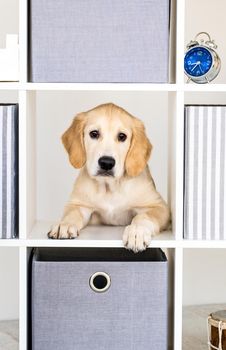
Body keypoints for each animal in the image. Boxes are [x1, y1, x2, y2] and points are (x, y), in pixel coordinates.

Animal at [48, 102, 170, 252]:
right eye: (94, 134)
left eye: (122, 136)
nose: (106, 163)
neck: (109, 187)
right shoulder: (79, 204)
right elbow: (72, 213)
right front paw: (64, 224)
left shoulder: (158, 206)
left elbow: (143, 216)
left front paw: (137, 231)